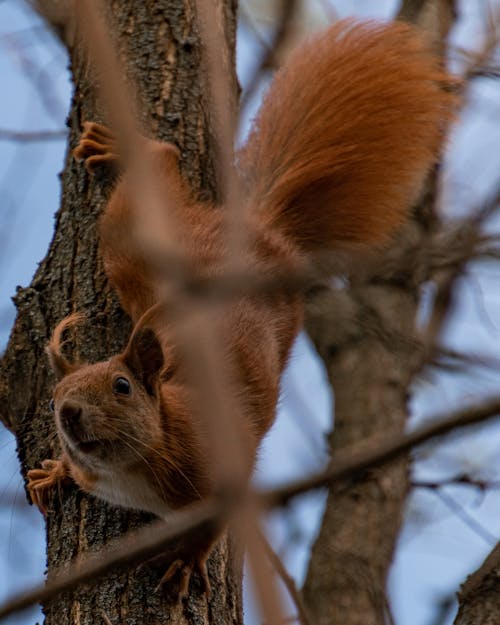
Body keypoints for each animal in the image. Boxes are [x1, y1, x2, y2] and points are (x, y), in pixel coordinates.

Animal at [27, 18, 458, 596]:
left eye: (121, 387)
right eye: (54, 399)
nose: (69, 415)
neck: (130, 466)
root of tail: (260, 232)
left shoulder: (219, 468)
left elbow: (216, 525)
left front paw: (186, 561)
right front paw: (53, 472)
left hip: (144, 240)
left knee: (163, 157)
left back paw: (133, 149)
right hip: (134, 251)